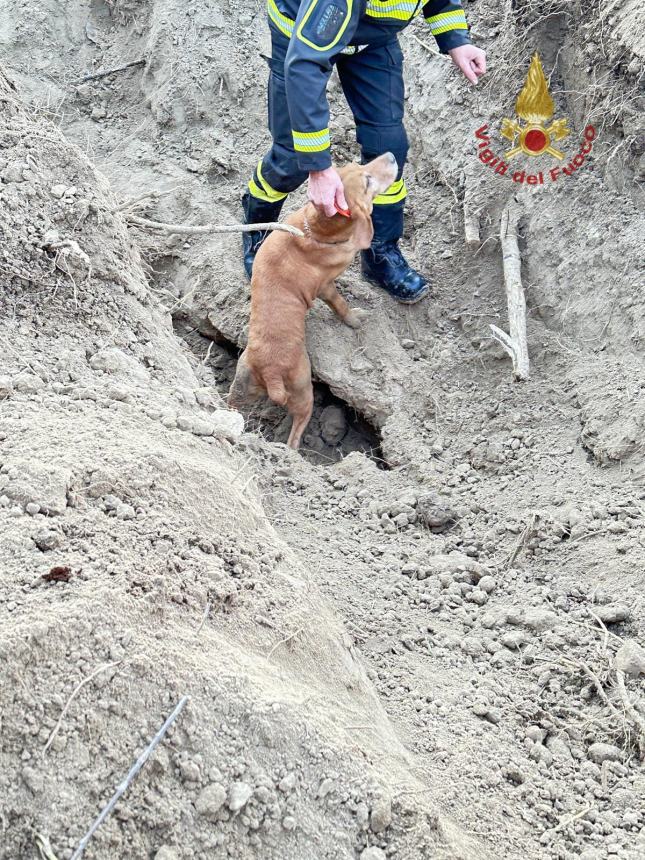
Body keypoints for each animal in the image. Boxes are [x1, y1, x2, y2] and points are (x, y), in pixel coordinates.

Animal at [229, 155, 394, 450]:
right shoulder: (326, 286)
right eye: (367, 181)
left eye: (359, 166)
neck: (317, 229)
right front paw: (354, 319)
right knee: (296, 432)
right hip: (303, 390)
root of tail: (270, 373)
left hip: (243, 380)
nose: (392, 156)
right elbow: (340, 304)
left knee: (232, 401)